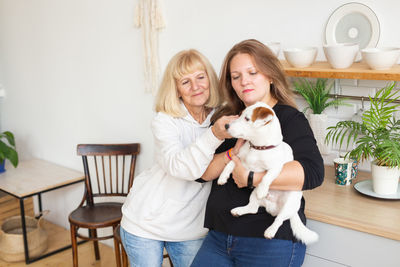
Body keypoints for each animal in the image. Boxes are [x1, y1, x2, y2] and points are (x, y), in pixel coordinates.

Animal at [217, 102, 318, 245]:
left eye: (247, 118)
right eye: (240, 114)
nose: (226, 126)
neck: (258, 148)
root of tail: (273, 208)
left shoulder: (276, 168)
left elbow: (267, 177)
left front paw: (262, 190)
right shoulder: (239, 158)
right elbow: (230, 164)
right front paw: (222, 177)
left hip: (289, 204)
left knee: (279, 219)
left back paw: (270, 230)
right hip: (253, 196)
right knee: (253, 209)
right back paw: (239, 210)